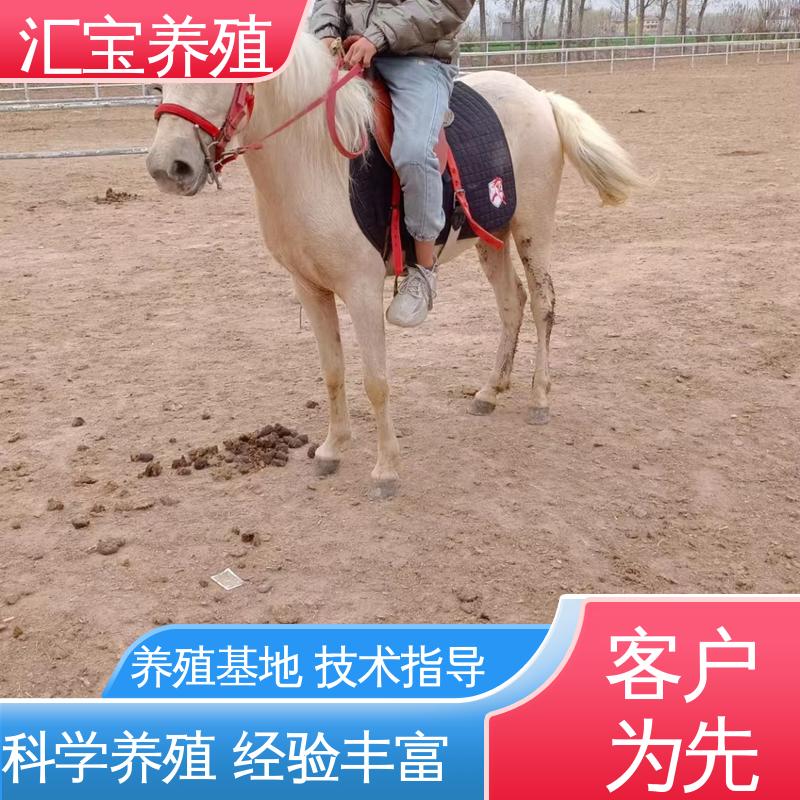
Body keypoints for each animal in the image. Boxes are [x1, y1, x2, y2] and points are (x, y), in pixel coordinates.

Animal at [146, 32, 642, 497]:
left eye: (223, 67)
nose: (168, 166)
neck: (318, 162)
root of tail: (541, 98)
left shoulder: (362, 289)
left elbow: (376, 381)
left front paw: (386, 470)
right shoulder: (310, 287)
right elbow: (333, 371)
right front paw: (332, 449)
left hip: (532, 229)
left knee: (542, 304)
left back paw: (539, 397)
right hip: (492, 236)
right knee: (511, 304)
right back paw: (490, 390)